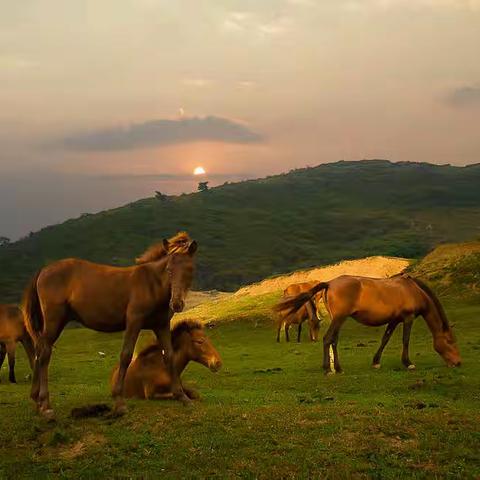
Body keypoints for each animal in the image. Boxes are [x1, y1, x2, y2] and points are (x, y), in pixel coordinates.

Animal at [22, 231, 199, 418]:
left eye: (190, 270)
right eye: (169, 270)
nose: (177, 304)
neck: (151, 285)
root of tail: (43, 270)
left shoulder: (161, 326)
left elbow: (169, 356)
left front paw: (182, 397)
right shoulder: (134, 322)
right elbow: (126, 355)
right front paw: (120, 403)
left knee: (39, 350)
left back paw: (37, 401)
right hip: (54, 321)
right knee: (44, 354)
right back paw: (46, 406)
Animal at [278, 276, 462, 374]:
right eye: (450, 342)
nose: (458, 363)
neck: (413, 290)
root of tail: (329, 283)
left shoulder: (394, 320)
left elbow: (385, 339)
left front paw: (376, 362)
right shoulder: (408, 318)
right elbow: (406, 340)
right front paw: (408, 362)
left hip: (338, 319)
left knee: (334, 340)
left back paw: (338, 367)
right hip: (339, 318)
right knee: (327, 339)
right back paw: (328, 369)